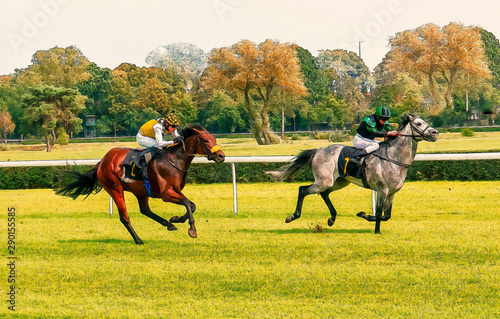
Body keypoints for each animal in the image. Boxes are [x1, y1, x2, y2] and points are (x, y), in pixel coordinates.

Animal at [56, 125, 225, 245]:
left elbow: (192, 205)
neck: (174, 161)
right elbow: (188, 204)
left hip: (141, 191)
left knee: (145, 210)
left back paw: (167, 224)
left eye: (214, 139)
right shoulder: (167, 194)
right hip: (115, 188)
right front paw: (192, 229)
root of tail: (102, 161)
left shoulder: (175, 190)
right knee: (124, 217)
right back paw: (138, 240)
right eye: (205, 140)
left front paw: (175, 219)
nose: (221, 156)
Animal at [270, 115, 438, 235]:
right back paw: (292, 216)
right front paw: (375, 229)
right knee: (303, 189)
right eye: (419, 123)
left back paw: (332, 218)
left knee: (324, 194)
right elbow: (379, 213)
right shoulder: (382, 189)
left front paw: (366, 216)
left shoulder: (391, 193)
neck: (393, 157)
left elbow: (386, 215)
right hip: (324, 181)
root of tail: (319, 150)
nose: (435, 133)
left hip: (338, 182)